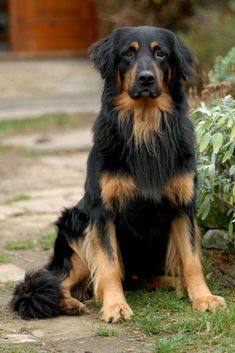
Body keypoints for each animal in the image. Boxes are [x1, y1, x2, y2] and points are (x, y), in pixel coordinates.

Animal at [11, 25, 226, 322]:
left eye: (161, 53)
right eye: (128, 54)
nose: (146, 78)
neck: (145, 126)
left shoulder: (183, 205)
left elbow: (192, 258)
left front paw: (203, 297)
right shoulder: (103, 212)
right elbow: (109, 264)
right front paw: (115, 305)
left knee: (146, 278)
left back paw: (176, 283)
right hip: (76, 223)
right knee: (56, 282)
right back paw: (69, 303)